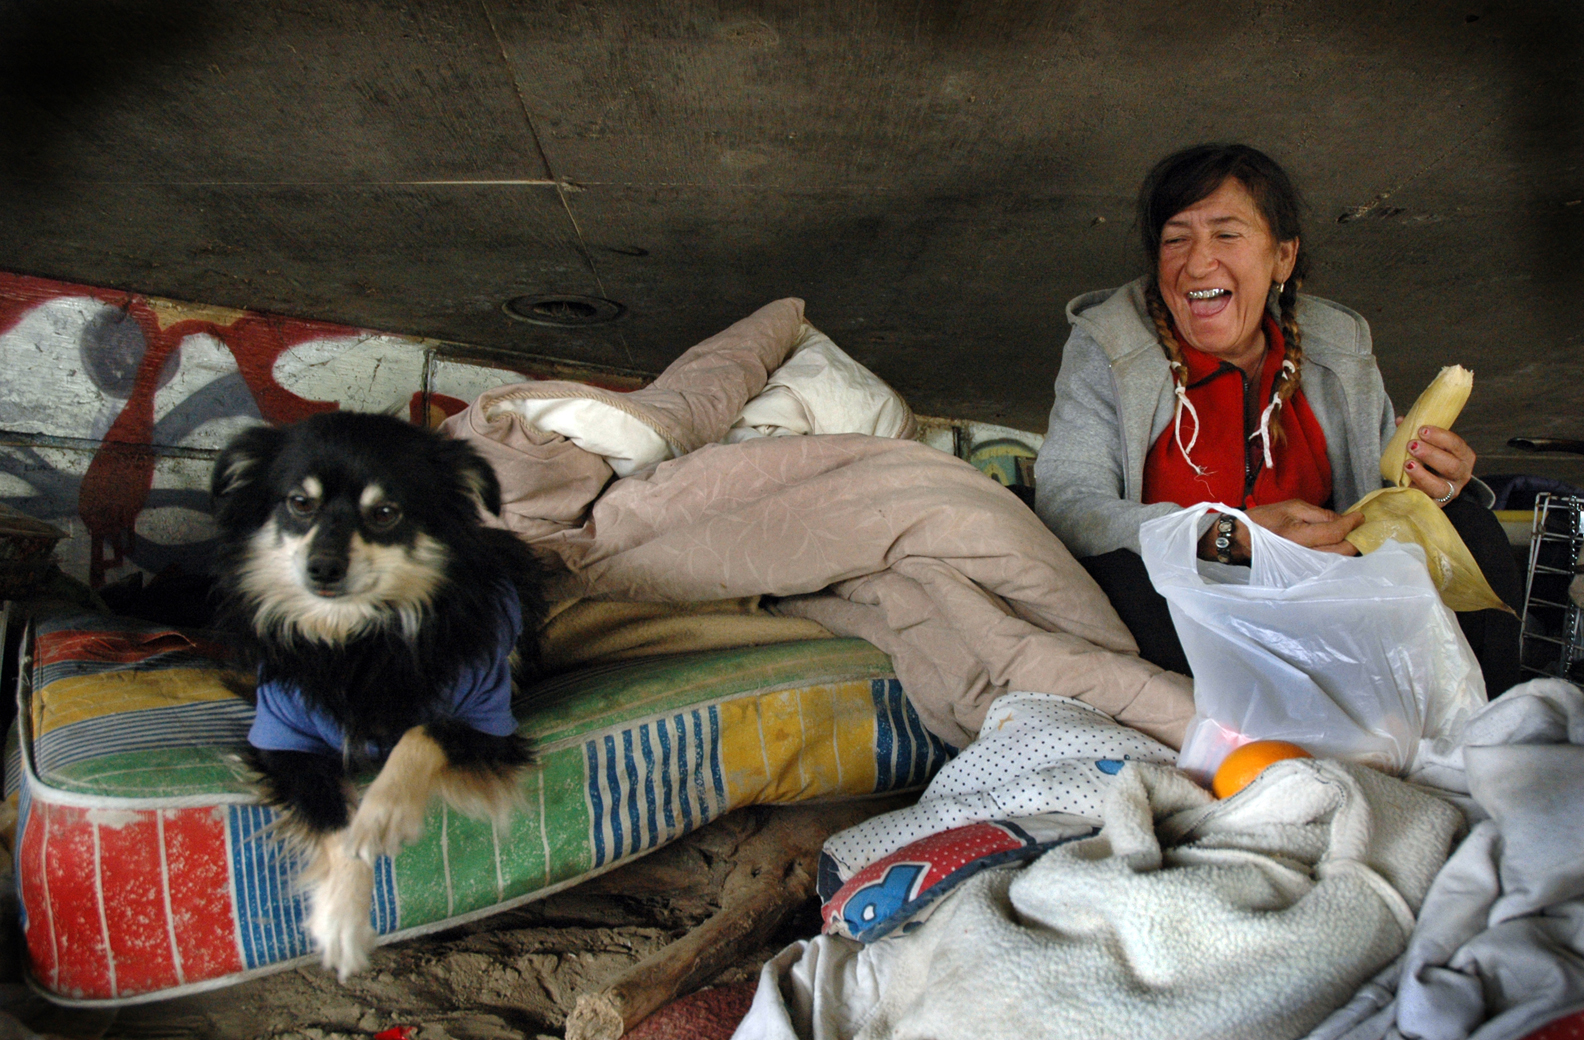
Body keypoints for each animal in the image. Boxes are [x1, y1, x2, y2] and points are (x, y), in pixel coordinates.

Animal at [210, 408, 548, 975]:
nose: (323, 568)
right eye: (299, 503)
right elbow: (334, 819)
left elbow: (425, 731)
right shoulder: (282, 740)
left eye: (386, 513)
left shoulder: (491, 722)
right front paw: (340, 918)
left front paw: (384, 814)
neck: (357, 638)